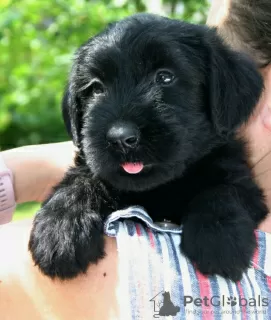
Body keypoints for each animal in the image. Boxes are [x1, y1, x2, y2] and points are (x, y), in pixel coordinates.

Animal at [29, 13, 270, 282]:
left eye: (165, 77)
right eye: (96, 88)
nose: (121, 137)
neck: (158, 189)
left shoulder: (243, 180)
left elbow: (223, 189)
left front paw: (218, 238)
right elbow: (80, 180)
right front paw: (60, 228)